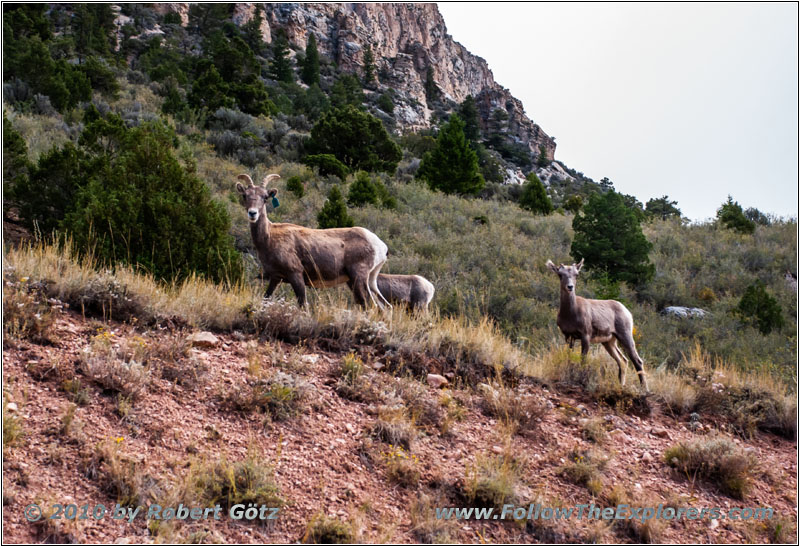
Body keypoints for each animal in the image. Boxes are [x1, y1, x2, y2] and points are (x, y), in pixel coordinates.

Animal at [236, 173, 391, 309]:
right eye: (245, 195)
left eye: (265, 197)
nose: (252, 213)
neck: (269, 237)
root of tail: (380, 246)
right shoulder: (276, 278)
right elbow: (266, 298)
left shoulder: (296, 275)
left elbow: (303, 305)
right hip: (369, 281)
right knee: (385, 306)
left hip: (359, 278)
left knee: (371, 306)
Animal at [546, 258, 648, 390]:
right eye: (560, 274)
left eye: (576, 274)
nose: (570, 287)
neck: (570, 314)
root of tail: (627, 312)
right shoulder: (568, 336)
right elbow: (569, 356)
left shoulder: (586, 335)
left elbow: (583, 359)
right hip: (609, 341)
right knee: (623, 360)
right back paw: (621, 385)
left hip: (625, 335)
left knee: (637, 360)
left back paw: (644, 388)